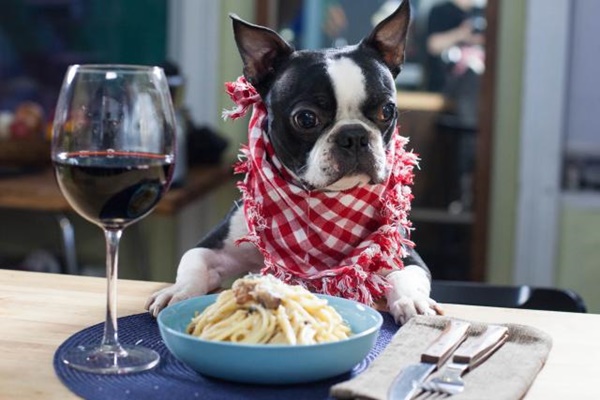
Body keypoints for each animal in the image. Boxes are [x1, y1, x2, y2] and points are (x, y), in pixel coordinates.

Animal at [146, 0, 440, 324]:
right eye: (306, 118)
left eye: (387, 111)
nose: (354, 136)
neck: (322, 205)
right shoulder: (217, 247)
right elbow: (192, 260)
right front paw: (179, 292)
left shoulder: (402, 253)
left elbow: (407, 275)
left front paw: (412, 301)